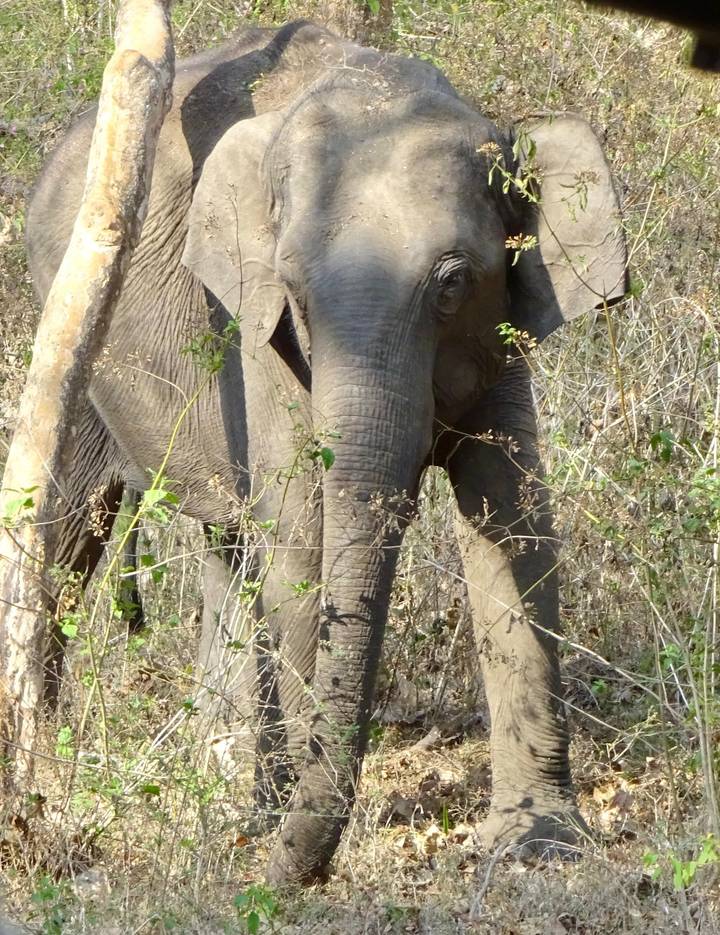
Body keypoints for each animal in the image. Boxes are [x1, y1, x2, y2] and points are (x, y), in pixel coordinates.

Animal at [25, 20, 627, 884]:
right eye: (296, 291)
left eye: (453, 283)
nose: (282, 875)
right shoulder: (252, 328)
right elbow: (304, 537)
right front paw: (281, 834)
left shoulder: (502, 334)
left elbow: (513, 527)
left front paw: (537, 840)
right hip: (69, 325)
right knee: (72, 534)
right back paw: (53, 779)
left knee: (229, 550)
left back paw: (232, 792)